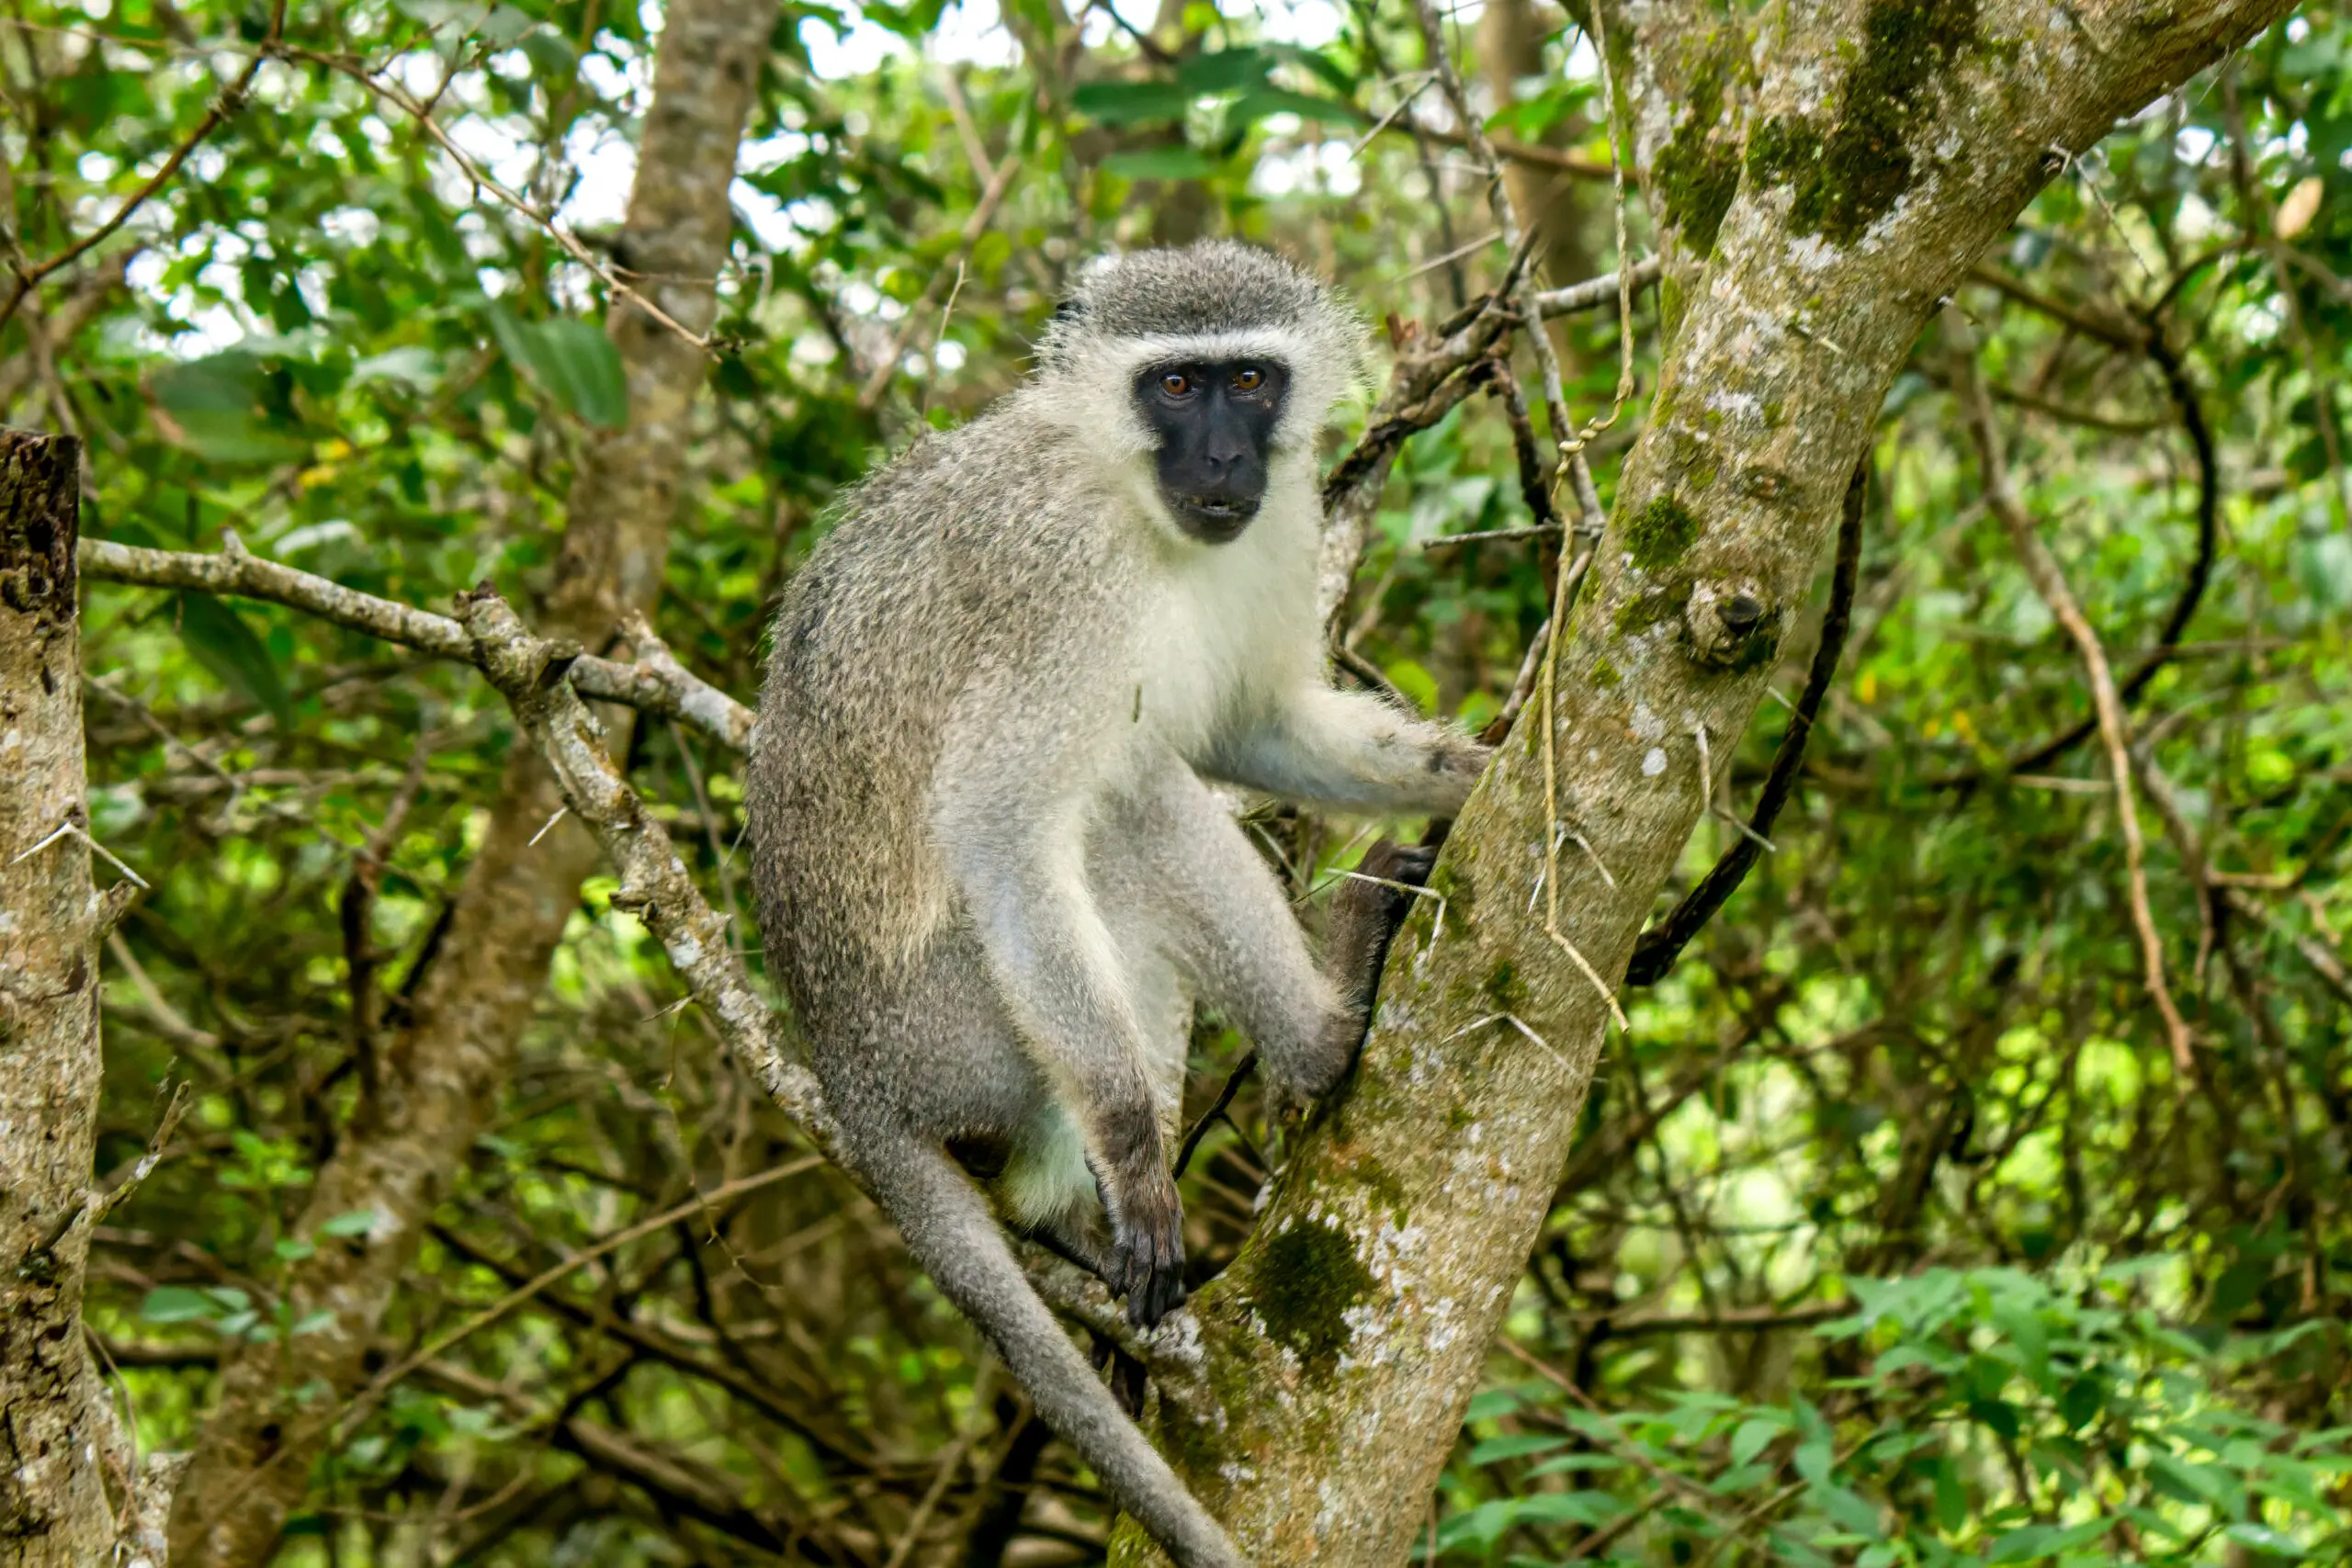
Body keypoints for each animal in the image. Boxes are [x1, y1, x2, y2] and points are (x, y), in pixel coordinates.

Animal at [748, 240, 1486, 1561]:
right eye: (1174, 386)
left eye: (1249, 378)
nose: (1226, 461)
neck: (1133, 499)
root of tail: (844, 1064)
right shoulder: (1064, 580)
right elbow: (999, 828)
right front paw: (1141, 1156)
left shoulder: (1278, 525)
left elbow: (1255, 722)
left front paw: (1476, 768)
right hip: (958, 1020)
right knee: (1128, 807)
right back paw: (1320, 1032)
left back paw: (1052, 1208)